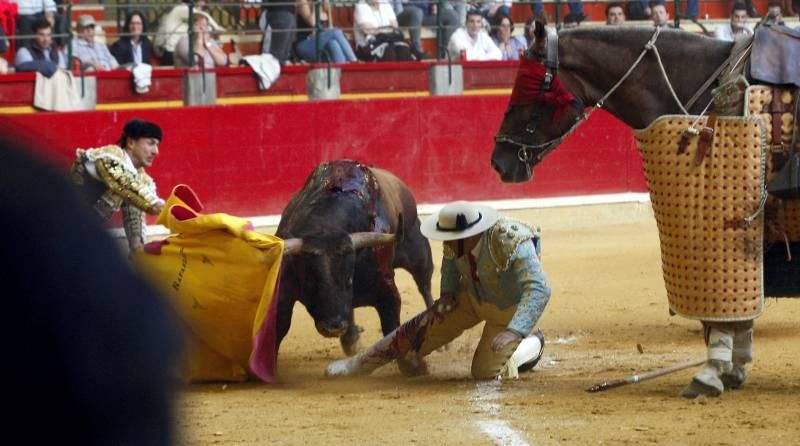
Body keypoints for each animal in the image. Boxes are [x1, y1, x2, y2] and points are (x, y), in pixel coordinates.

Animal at [276, 160, 438, 358]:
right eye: (310, 282)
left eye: (349, 281)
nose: (333, 327)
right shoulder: (284, 291)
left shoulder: (388, 293)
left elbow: (391, 328)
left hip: (419, 252)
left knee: (424, 284)